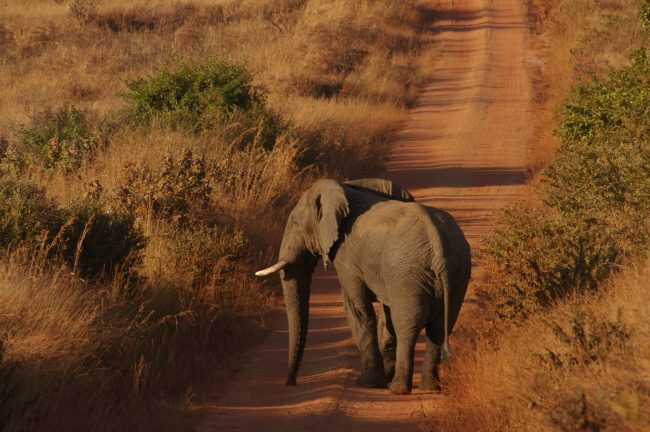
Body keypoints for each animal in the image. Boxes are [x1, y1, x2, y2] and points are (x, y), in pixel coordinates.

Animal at [254, 177, 470, 394]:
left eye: (296, 223)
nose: (290, 382)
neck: (348, 188)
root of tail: (438, 245)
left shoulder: (346, 255)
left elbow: (357, 310)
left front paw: (369, 383)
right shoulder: (388, 274)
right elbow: (385, 316)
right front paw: (384, 375)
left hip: (409, 273)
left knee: (407, 326)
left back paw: (398, 388)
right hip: (454, 275)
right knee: (439, 327)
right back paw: (429, 388)